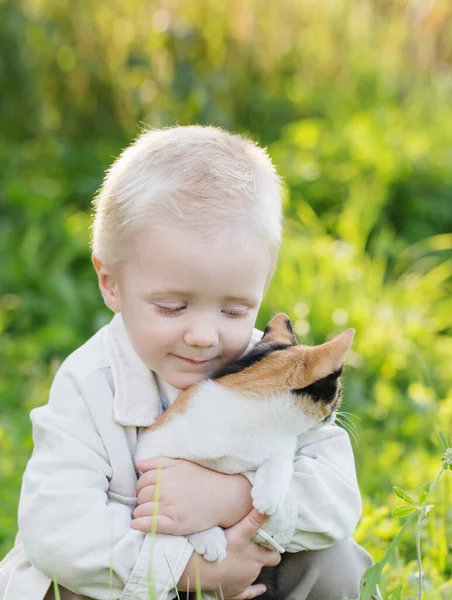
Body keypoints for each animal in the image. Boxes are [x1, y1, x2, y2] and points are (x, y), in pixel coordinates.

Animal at [134, 314, 354, 584]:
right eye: (338, 394)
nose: (336, 415)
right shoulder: (150, 448)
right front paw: (208, 537)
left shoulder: (284, 442)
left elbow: (280, 461)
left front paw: (268, 496)